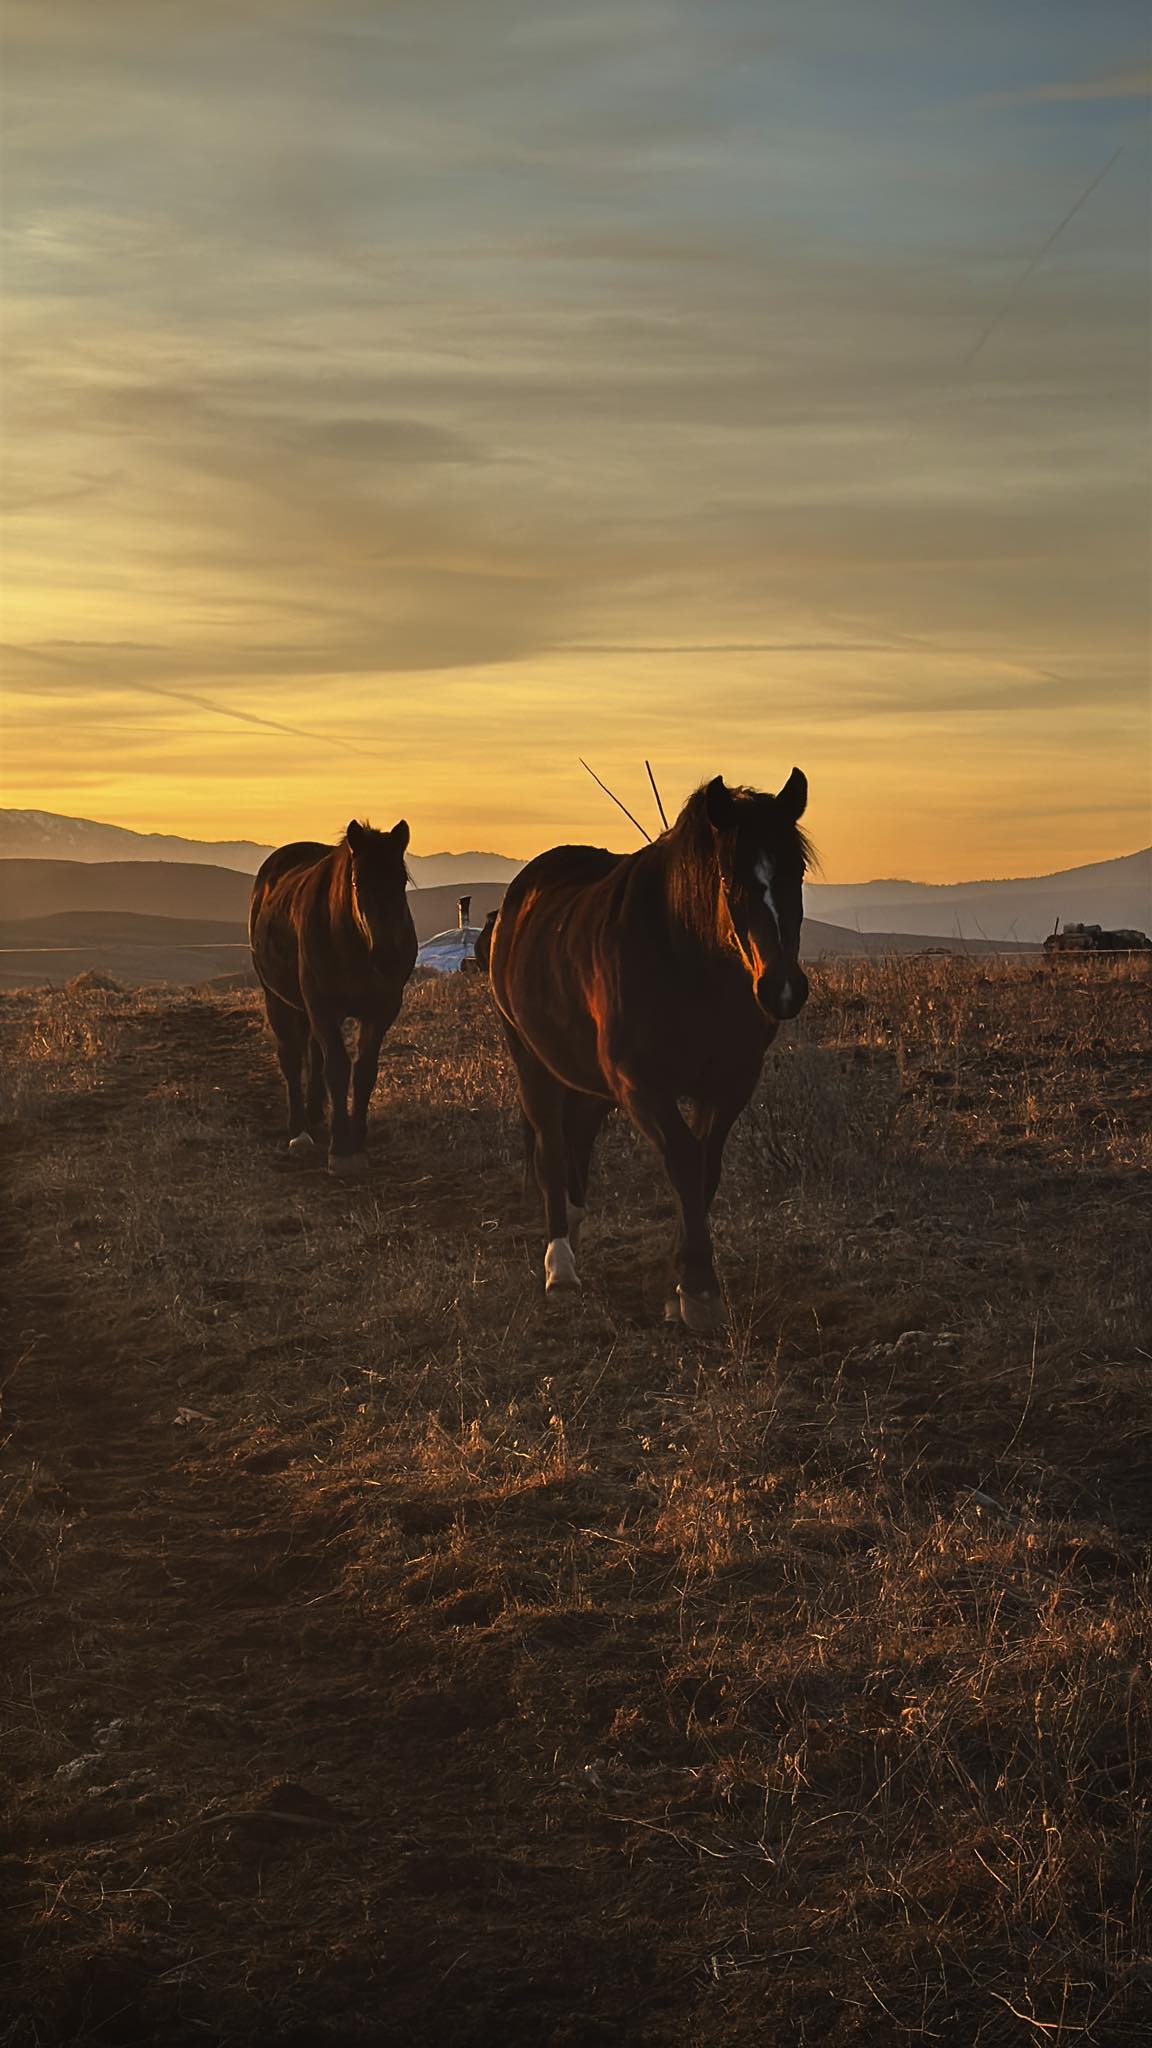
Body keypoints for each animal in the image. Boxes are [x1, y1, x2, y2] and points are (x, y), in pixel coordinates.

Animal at [249, 819, 417, 1175]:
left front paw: (358, 1142)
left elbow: (364, 1071)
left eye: (401, 881)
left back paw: (314, 1114)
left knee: (313, 1052)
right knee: (292, 1057)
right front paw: (341, 1150)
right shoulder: (322, 1007)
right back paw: (298, 1130)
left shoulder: (381, 1011)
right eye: (357, 882)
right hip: (278, 1000)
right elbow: (338, 1069)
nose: (387, 957)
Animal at [488, 771, 811, 1330]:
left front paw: (680, 1283)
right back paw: (560, 1266)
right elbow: (683, 1160)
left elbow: (705, 1169)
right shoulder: (642, 1085)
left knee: (579, 1134)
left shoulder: (729, 1083)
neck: (687, 963)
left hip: (587, 1077)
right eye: (728, 879)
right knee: (551, 1147)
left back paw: (575, 1225)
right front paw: (699, 1289)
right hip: (533, 1063)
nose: (782, 989)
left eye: (799, 872)